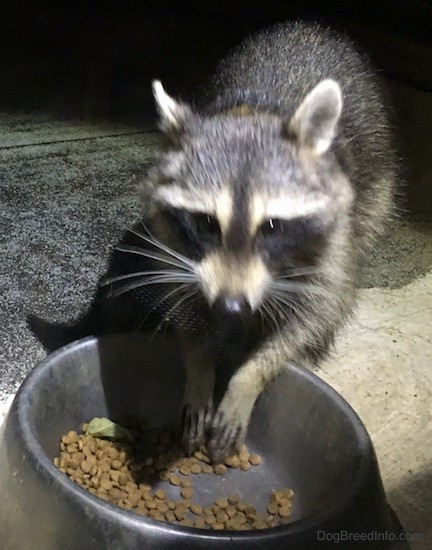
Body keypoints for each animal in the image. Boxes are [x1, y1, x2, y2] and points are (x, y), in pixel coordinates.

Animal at [116, 20, 396, 462]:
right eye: (206, 223)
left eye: (272, 227)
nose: (231, 306)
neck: (251, 114)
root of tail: (308, 26)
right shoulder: (173, 242)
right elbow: (186, 307)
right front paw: (201, 370)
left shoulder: (332, 243)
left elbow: (310, 317)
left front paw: (248, 378)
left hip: (375, 190)